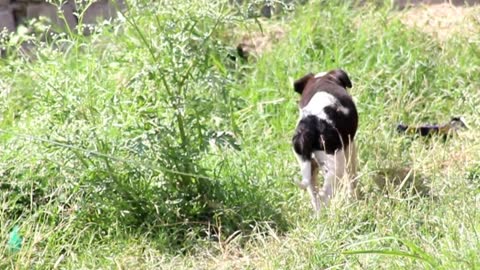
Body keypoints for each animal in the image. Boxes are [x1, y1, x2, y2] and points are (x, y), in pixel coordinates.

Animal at [290, 68, 358, 212]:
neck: (322, 79)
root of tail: (307, 128)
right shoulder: (350, 146)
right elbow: (351, 174)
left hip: (307, 168)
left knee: (315, 196)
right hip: (335, 166)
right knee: (324, 195)